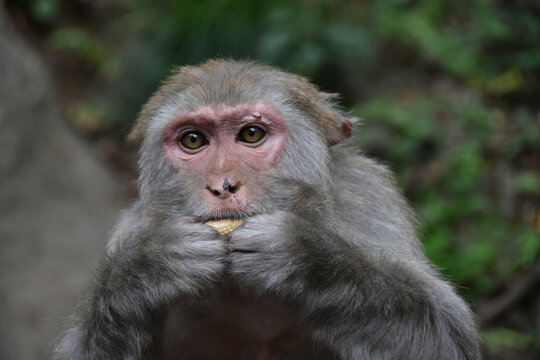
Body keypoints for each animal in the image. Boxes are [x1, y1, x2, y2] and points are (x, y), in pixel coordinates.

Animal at [56, 59, 480, 360]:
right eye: (193, 140)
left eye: (251, 134)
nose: (223, 185)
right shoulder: (133, 228)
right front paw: (149, 267)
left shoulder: (368, 197)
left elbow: (447, 339)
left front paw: (306, 258)